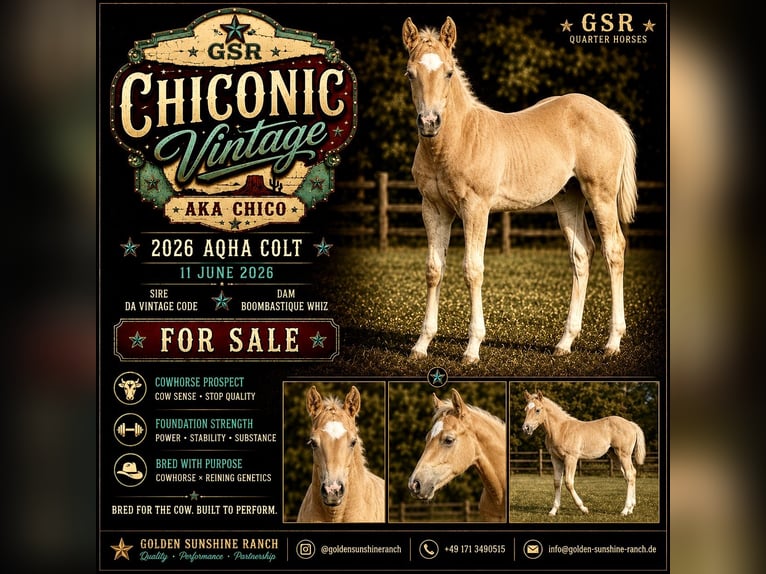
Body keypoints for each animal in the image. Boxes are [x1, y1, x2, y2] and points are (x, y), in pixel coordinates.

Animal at [402, 17, 638, 364]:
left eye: (448, 72)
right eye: (410, 73)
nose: (429, 123)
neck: (457, 139)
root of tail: (611, 115)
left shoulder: (476, 207)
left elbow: (473, 269)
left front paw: (472, 348)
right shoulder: (433, 208)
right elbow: (434, 269)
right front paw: (421, 345)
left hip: (601, 194)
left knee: (614, 249)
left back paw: (612, 342)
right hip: (568, 197)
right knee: (582, 253)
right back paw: (565, 342)